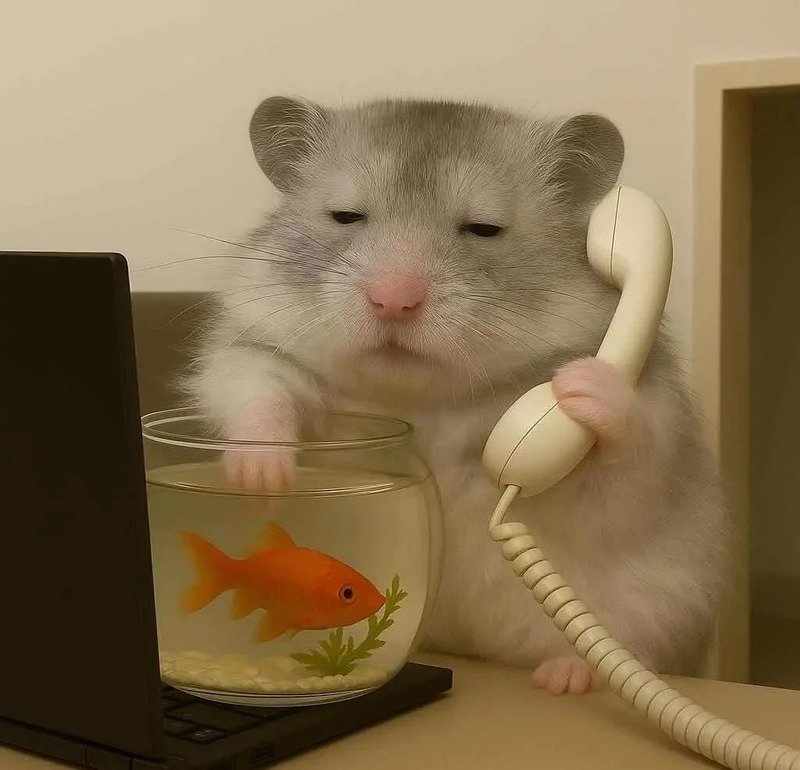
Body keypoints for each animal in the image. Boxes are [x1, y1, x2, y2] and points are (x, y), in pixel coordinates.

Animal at [184, 96, 728, 695]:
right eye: (345, 216)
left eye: (484, 229)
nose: (393, 301)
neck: (420, 401)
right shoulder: (248, 352)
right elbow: (258, 390)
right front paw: (262, 483)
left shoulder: (640, 452)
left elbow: (630, 451)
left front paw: (577, 386)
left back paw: (566, 676)